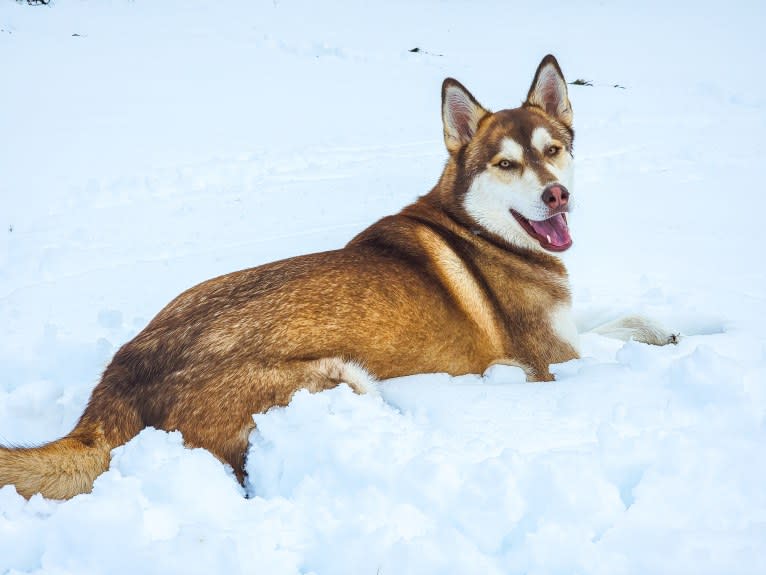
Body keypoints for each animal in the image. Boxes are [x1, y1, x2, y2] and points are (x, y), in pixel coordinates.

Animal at [0, 56, 676, 502]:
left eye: (553, 149)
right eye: (507, 164)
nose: (557, 195)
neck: (482, 231)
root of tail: (112, 393)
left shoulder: (565, 325)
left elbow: (618, 315)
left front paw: (666, 329)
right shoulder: (553, 357)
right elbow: (605, 341)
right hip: (343, 380)